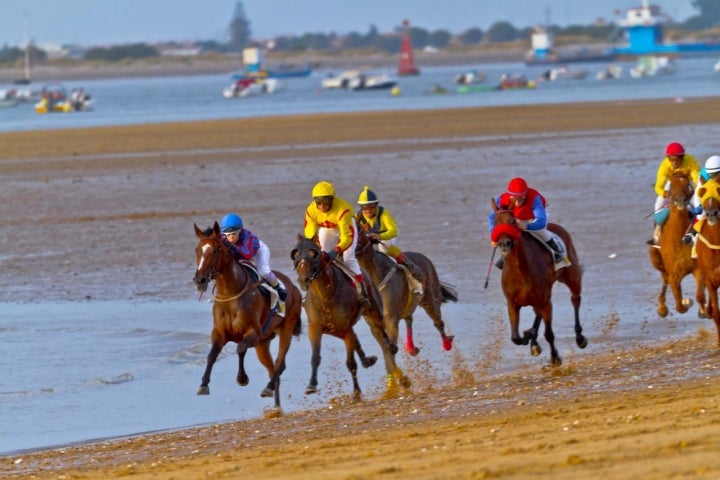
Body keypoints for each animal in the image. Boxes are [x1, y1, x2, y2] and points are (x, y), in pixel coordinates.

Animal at [191, 223, 300, 410]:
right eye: (198, 250)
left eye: (216, 250)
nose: (200, 280)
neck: (230, 294)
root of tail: (293, 287)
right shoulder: (219, 333)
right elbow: (211, 355)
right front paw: (203, 384)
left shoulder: (253, 333)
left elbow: (240, 349)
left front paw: (242, 378)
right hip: (263, 344)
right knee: (273, 370)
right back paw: (275, 404)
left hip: (286, 328)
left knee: (280, 364)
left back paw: (269, 388)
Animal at [290, 235, 408, 398]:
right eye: (295, 254)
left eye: (314, 254)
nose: (304, 279)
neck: (326, 295)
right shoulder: (315, 328)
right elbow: (315, 358)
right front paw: (311, 385)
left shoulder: (346, 329)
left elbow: (351, 363)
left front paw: (356, 392)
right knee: (360, 339)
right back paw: (369, 360)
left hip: (372, 310)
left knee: (381, 331)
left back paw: (392, 350)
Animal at [490, 197, 584, 366]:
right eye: (495, 223)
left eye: (513, 221)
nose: (505, 243)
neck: (520, 271)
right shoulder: (512, 303)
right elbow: (515, 338)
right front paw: (529, 336)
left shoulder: (546, 302)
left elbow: (549, 334)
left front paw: (555, 357)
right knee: (537, 314)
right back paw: (533, 341)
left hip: (572, 276)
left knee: (575, 300)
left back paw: (580, 338)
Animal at [648, 172, 704, 318]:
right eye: (671, 185)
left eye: (687, 184)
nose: (680, 201)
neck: (679, 240)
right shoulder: (674, 275)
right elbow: (680, 306)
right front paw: (686, 301)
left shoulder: (697, 269)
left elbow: (700, 295)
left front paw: (703, 310)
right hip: (657, 261)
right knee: (664, 280)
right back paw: (662, 308)